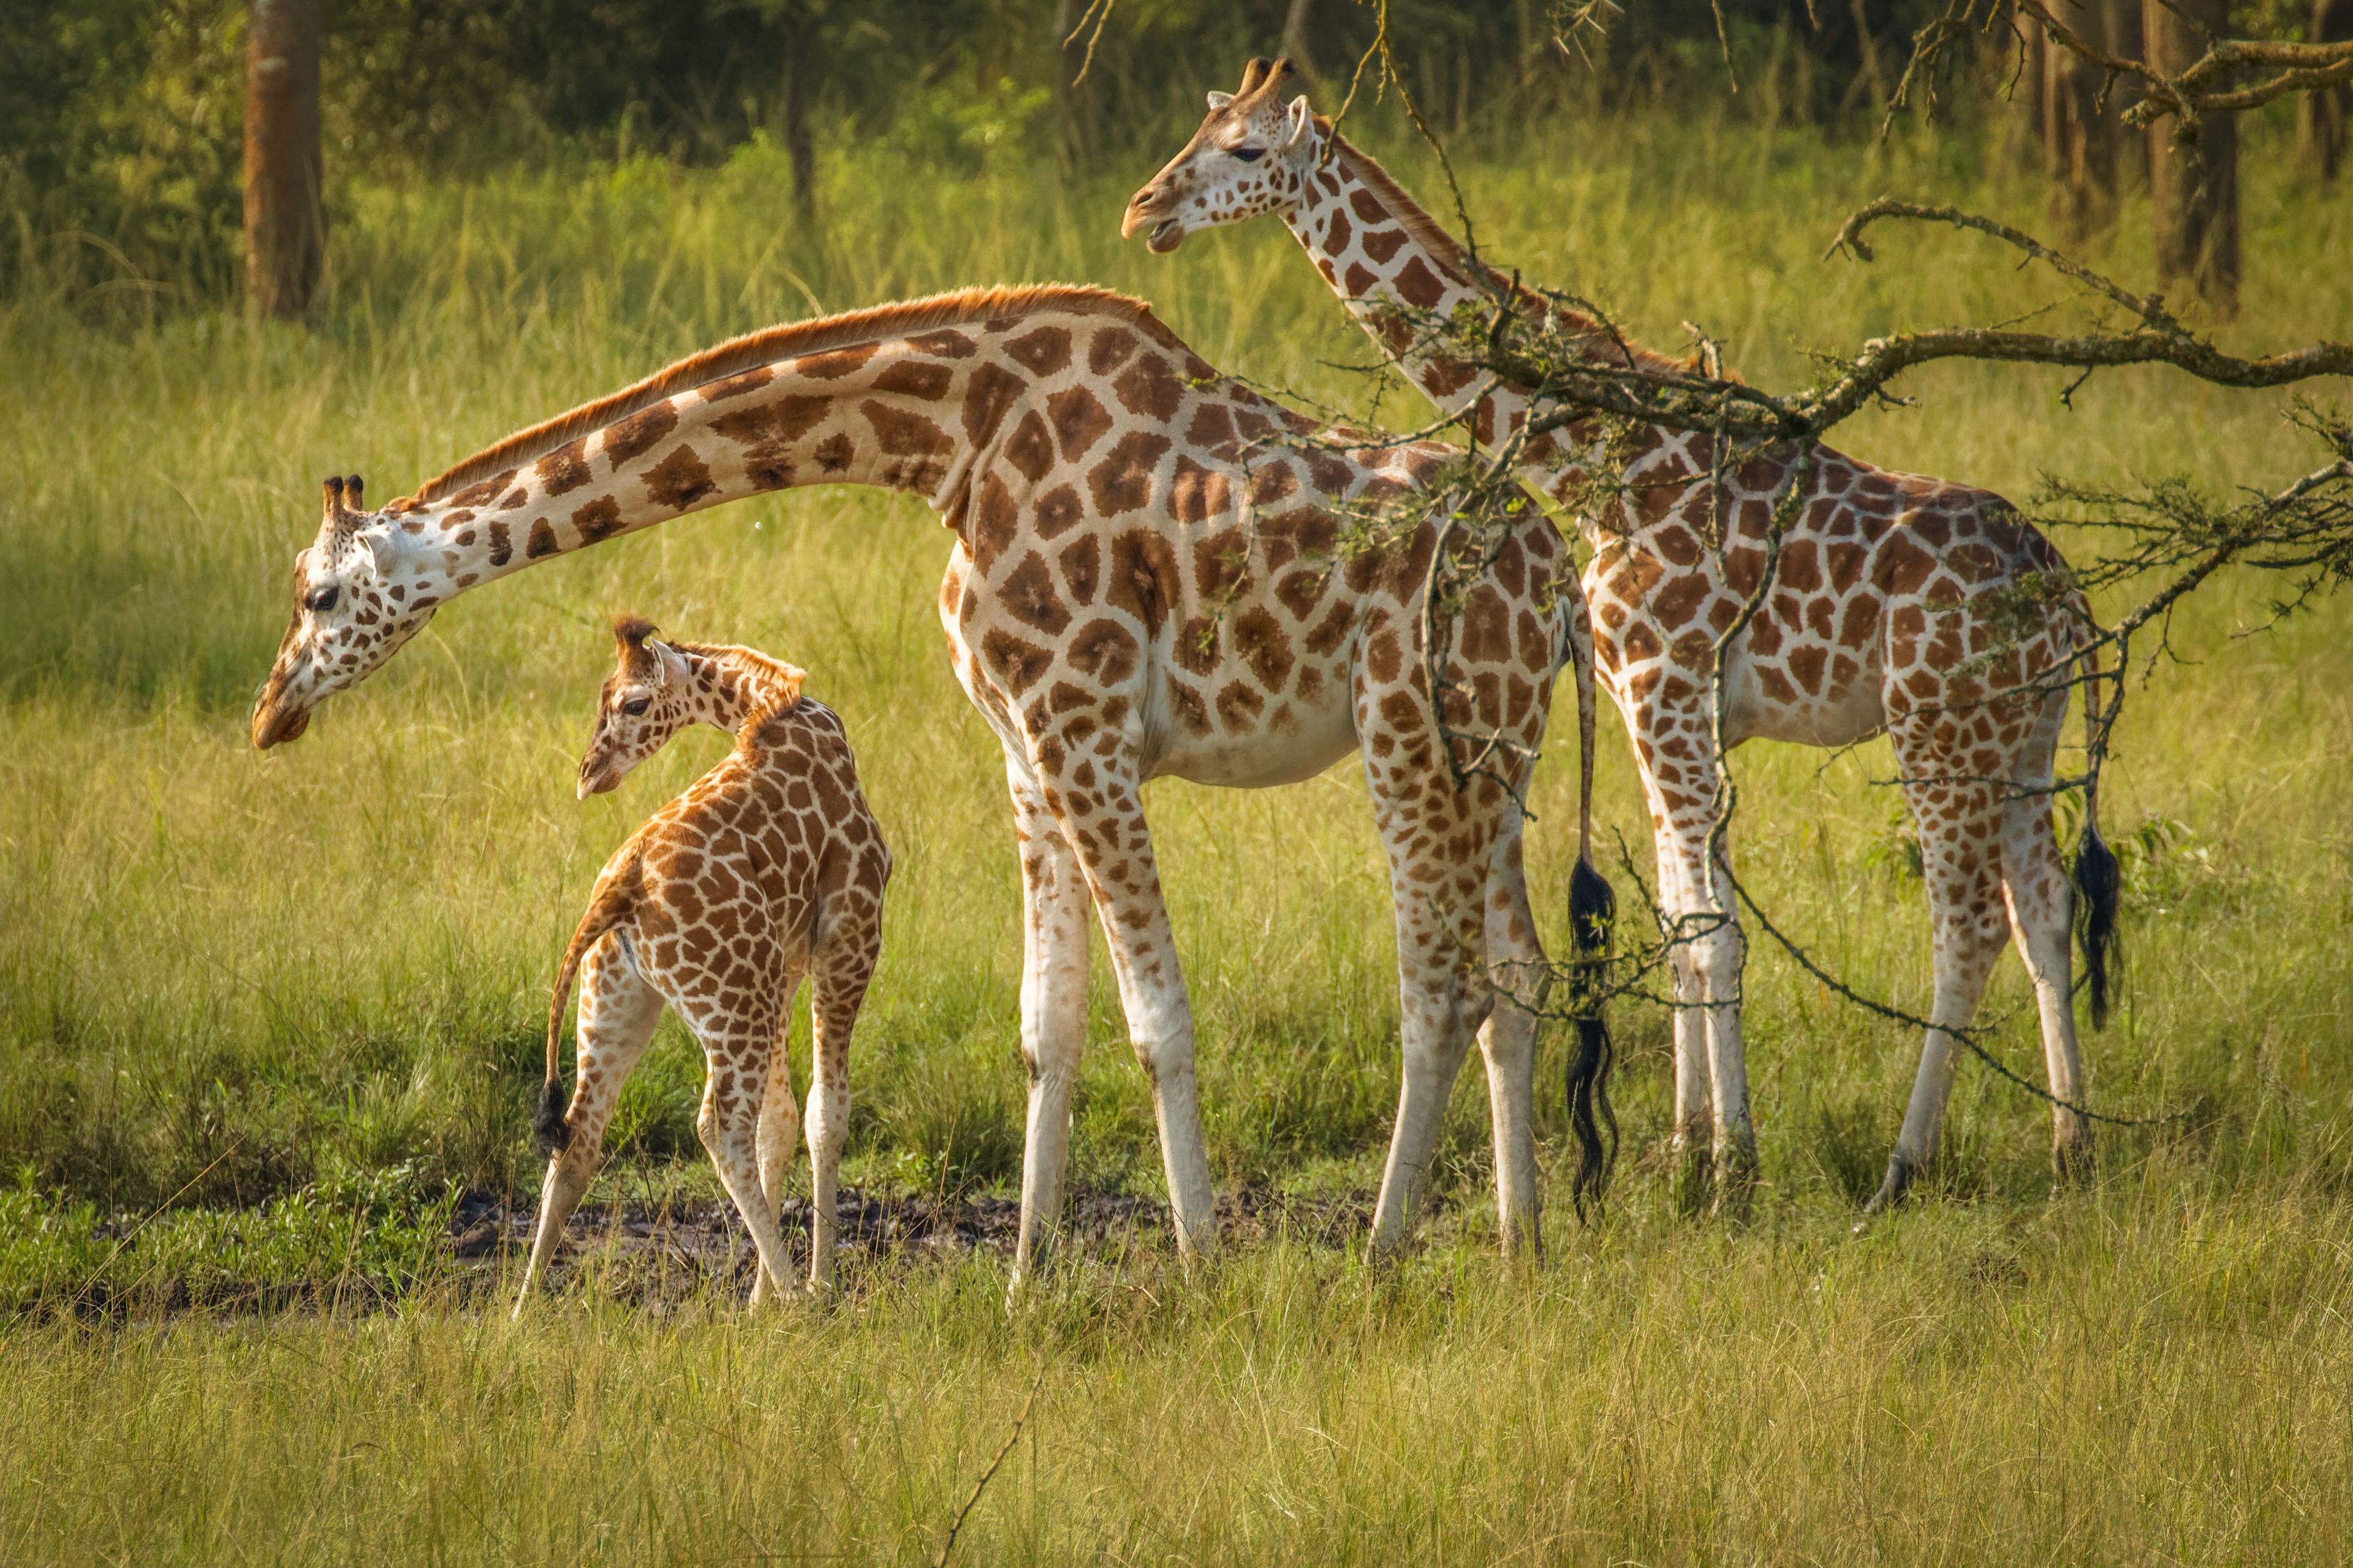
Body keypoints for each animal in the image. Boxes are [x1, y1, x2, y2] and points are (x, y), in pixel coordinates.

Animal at [515, 613, 887, 1309]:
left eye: (631, 702)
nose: (588, 773)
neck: (779, 707)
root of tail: (617, 892)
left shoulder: (783, 964)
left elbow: (781, 1120)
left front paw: (758, 1301)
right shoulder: (849, 930)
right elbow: (824, 1113)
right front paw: (816, 1284)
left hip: (619, 1006)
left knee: (578, 1140)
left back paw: (520, 1312)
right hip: (733, 1004)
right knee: (721, 1130)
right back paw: (799, 1298)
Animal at [1126, 60, 2121, 1212]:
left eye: (1246, 150)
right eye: (1195, 132)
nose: (1143, 211)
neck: (1603, 464)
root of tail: (2063, 587)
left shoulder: (1667, 681)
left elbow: (1715, 931)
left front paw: (1734, 1170)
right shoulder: (1653, 699)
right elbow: (1682, 924)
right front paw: (1687, 1153)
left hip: (1938, 723)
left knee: (1968, 924)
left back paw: (1900, 1168)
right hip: (2027, 729)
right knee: (2044, 907)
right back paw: (2073, 1146)